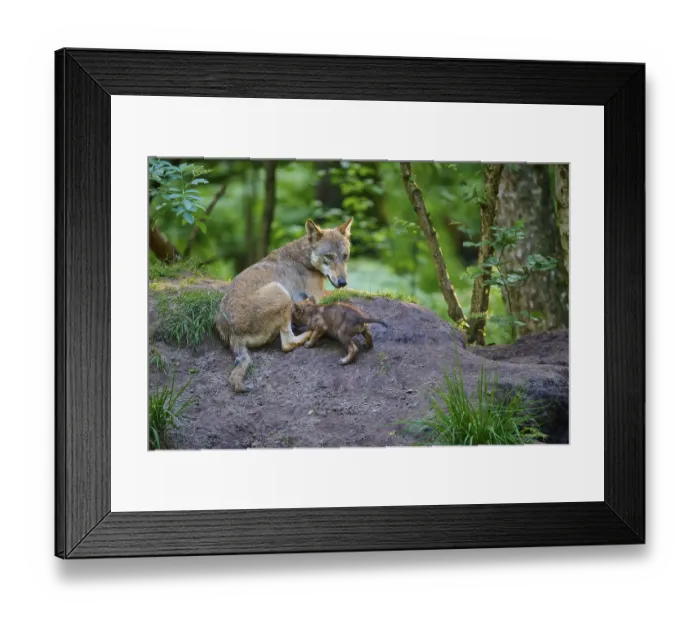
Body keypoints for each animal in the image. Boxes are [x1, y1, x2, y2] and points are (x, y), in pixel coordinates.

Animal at [215, 217, 353, 391]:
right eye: (329, 256)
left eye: (345, 256)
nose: (342, 282)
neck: (305, 256)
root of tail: (231, 332)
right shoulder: (319, 295)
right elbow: (355, 291)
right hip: (281, 291)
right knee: (287, 343)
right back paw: (311, 332)